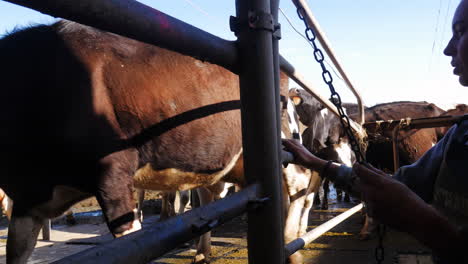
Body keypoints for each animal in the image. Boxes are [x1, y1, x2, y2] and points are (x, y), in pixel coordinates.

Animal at [0, 21, 318, 264]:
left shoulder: (113, 171)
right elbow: (16, 251)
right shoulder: (28, 199)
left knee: (302, 181)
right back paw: (205, 252)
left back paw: (290, 239)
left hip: (284, 143)